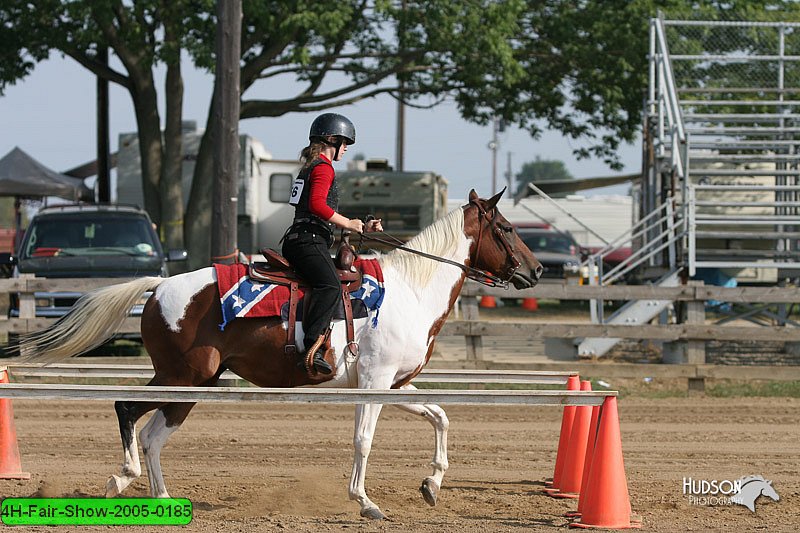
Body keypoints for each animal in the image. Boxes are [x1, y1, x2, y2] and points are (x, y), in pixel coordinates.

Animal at [20, 189, 544, 516]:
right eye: (505, 227)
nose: (537, 270)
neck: (411, 291)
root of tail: (160, 286)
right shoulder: (375, 383)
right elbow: (363, 441)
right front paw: (365, 502)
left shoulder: (394, 384)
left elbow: (440, 416)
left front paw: (431, 485)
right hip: (182, 378)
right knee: (127, 409)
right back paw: (122, 479)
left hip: (192, 386)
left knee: (152, 436)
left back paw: (163, 499)